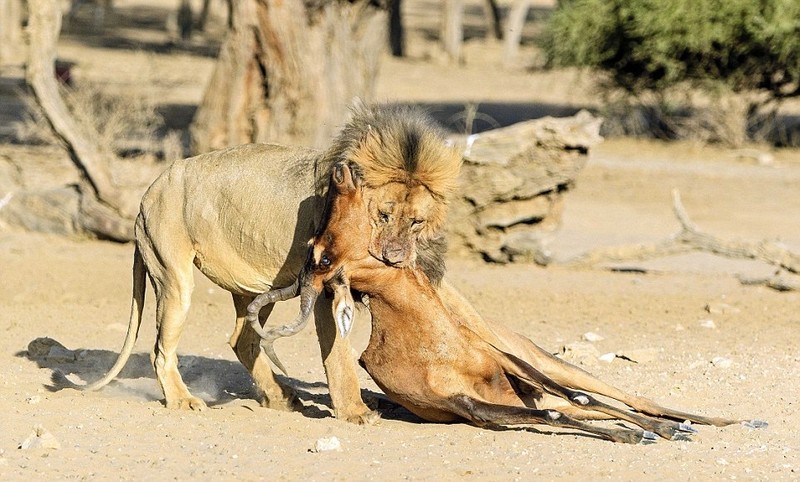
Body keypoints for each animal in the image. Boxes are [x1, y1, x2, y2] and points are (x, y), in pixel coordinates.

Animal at [64, 104, 462, 422]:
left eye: (417, 222)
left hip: (256, 286)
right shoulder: (324, 282)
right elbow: (338, 353)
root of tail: (149, 191)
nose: (394, 257)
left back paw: (281, 396)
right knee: (162, 349)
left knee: (242, 340)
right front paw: (355, 413)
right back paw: (183, 400)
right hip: (174, 278)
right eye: (383, 215)